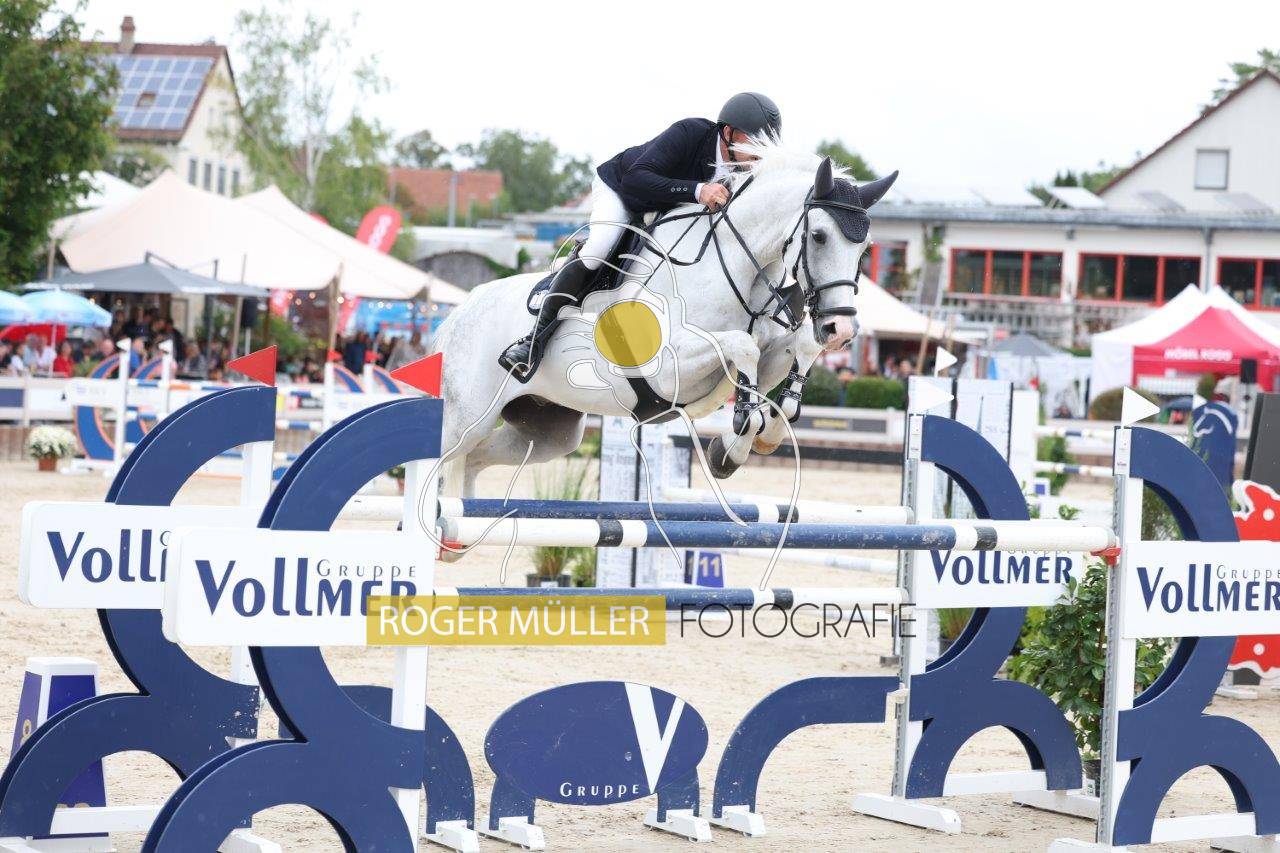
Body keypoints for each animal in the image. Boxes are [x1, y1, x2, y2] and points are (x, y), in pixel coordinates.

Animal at [431, 140, 897, 497]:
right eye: (818, 236)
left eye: (867, 247)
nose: (841, 330)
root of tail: (460, 311)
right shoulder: (665, 367)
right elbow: (740, 344)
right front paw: (736, 438)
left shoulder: (770, 352)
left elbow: (794, 353)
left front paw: (746, 441)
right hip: (466, 417)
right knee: (445, 457)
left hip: (548, 429)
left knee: (474, 459)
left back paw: (455, 540)